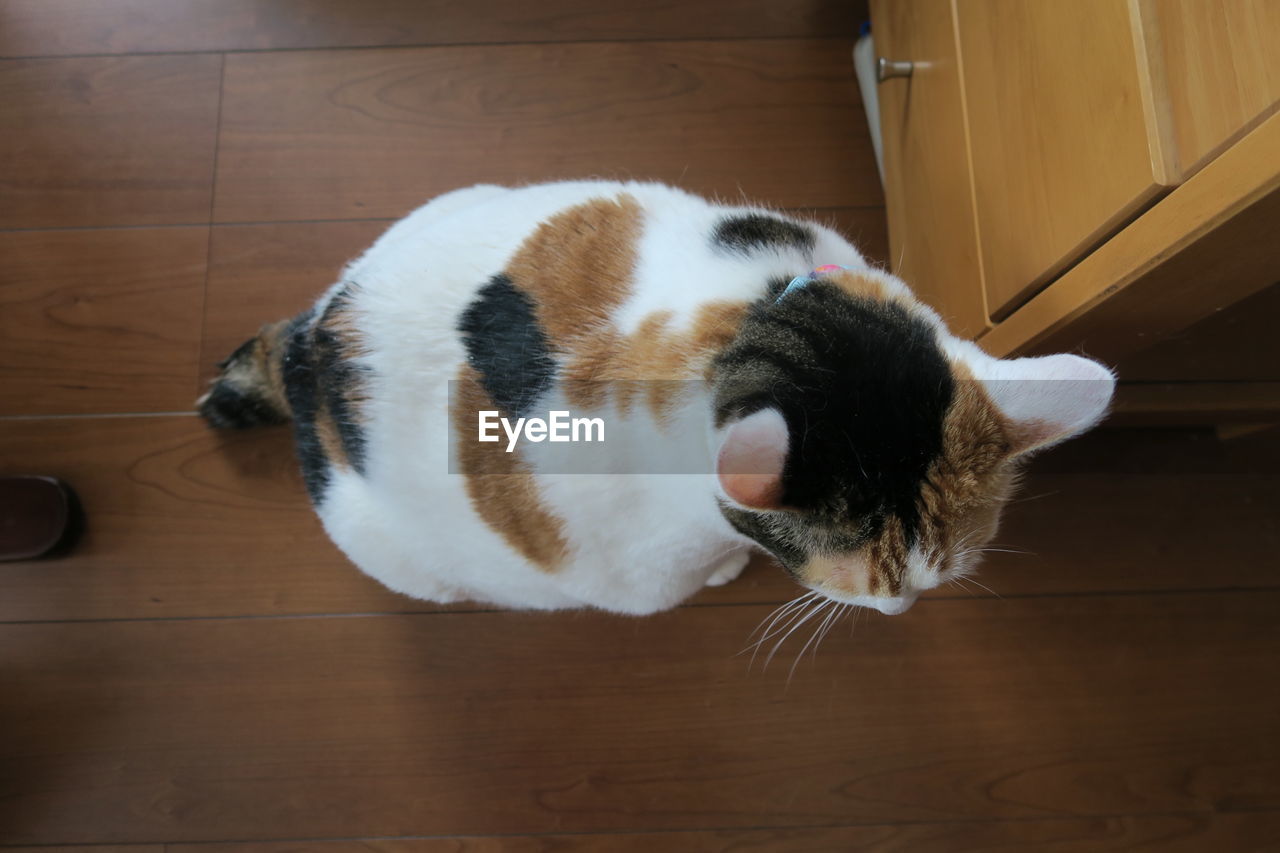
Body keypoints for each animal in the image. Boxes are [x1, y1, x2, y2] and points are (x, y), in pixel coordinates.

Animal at [197, 183, 1111, 614]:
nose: (901, 608)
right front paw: (727, 569)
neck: (742, 321)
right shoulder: (647, 563)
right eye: (874, 585)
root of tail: (316, 339)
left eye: (942, 574)